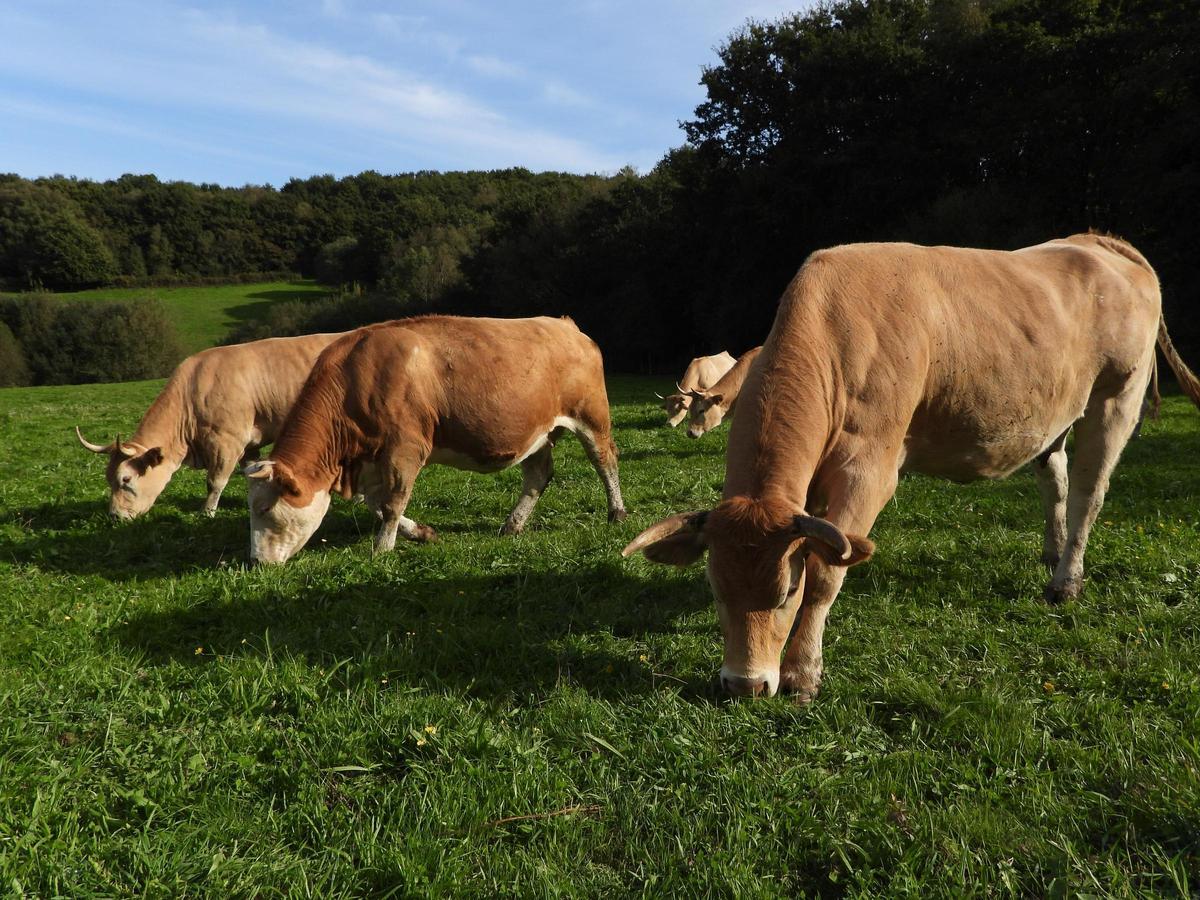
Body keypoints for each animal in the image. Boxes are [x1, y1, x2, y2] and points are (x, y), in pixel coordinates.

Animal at [76, 332, 344, 519]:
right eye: (108, 479)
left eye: (126, 479)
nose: (114, 516)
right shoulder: (249, 446)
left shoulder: (226, 441)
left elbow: (215, 481)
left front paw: (207, 512)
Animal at [245, 315, 627, 564]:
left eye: (263, 508)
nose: (256, 562)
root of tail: (564, 324)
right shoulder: (371, 460)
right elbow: (376, 503)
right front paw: (420, 533)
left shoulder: (405, 448)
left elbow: (392, 503)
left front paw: (381, 550)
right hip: (537, 432)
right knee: (538, 475)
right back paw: (512, 525)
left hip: (592, 416)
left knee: (605, 460)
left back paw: (617, 512)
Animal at [623, 234, 1200, 700]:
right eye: (715, 587)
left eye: (785, 593)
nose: (744, 685)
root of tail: (1099, 241)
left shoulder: (868, 471)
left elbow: (827, 571)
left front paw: (802, 674)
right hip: (1054, 408)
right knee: (1055, 481)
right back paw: (1052, 552)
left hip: (1117, 395)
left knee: (1088, 492)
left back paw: (1066, 581)